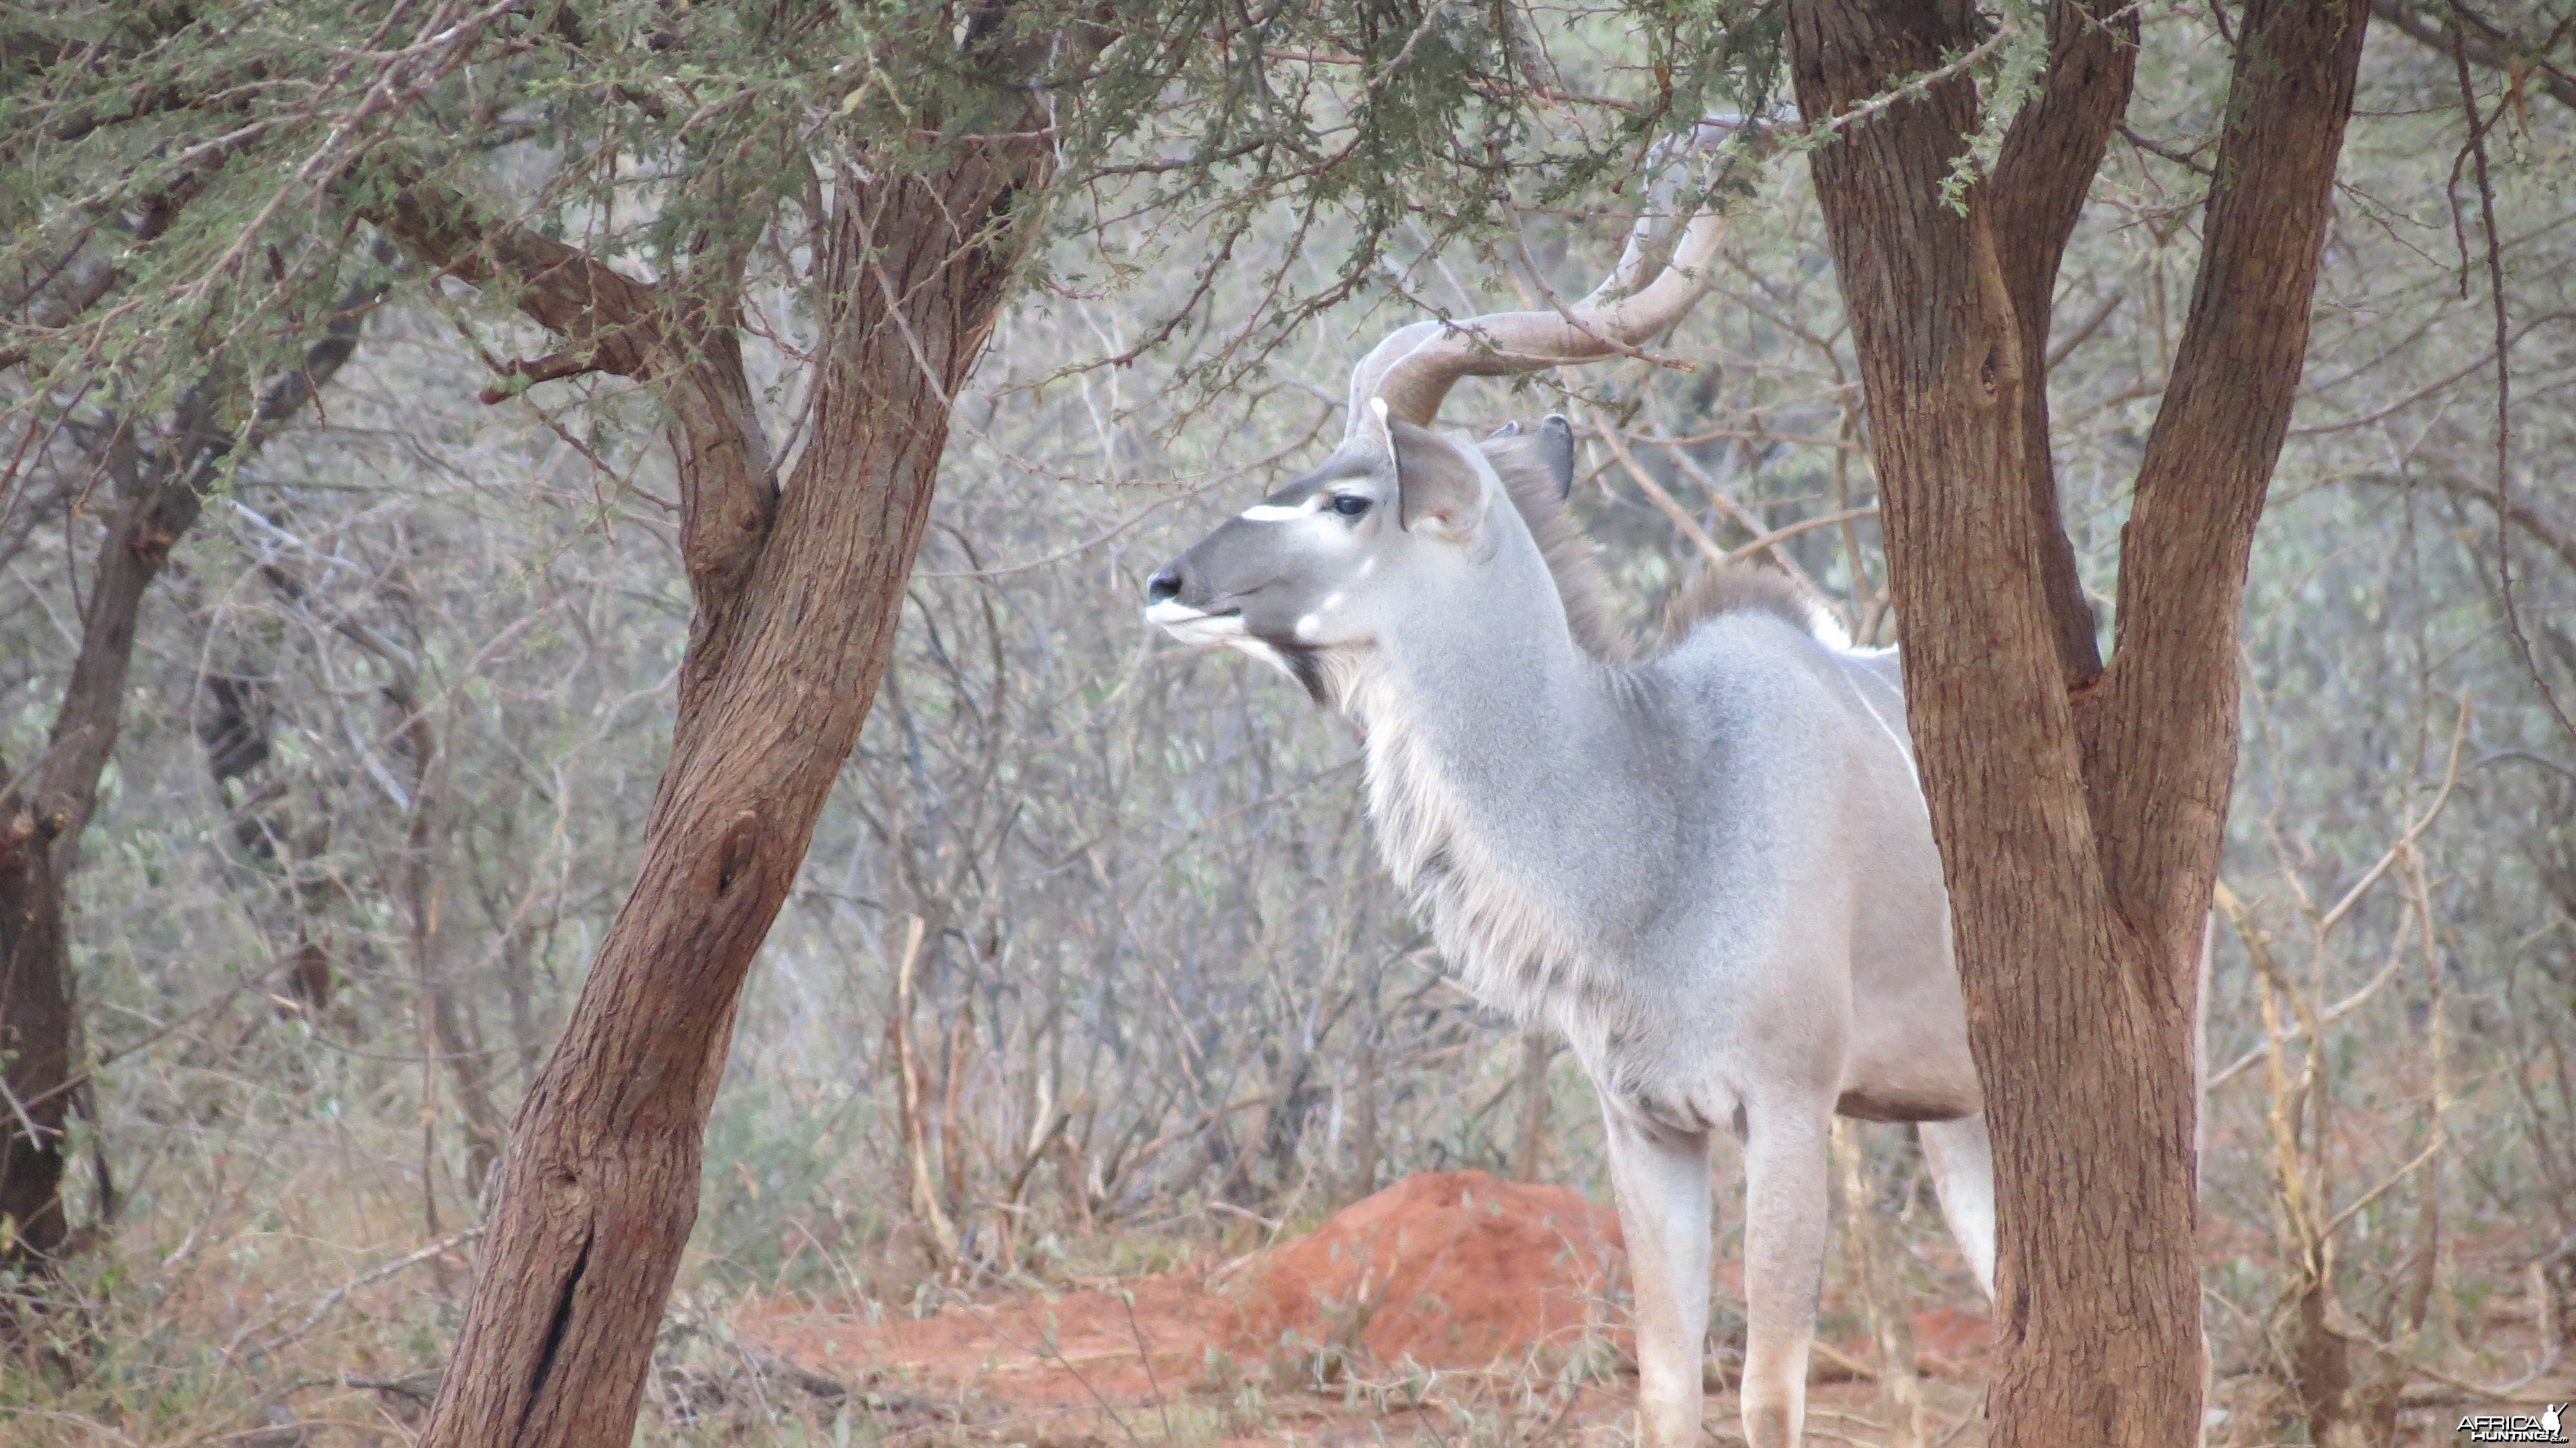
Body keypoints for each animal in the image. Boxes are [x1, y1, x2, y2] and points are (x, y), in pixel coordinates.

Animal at [1144, 138, 1989, 1443]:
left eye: (1350, 498)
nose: (1169, 582)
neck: (1667, 807)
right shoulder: (1645, 1125)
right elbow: (1666, 1385)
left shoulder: (1790, 1109)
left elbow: (1769, 1392)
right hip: (1957, 1121)